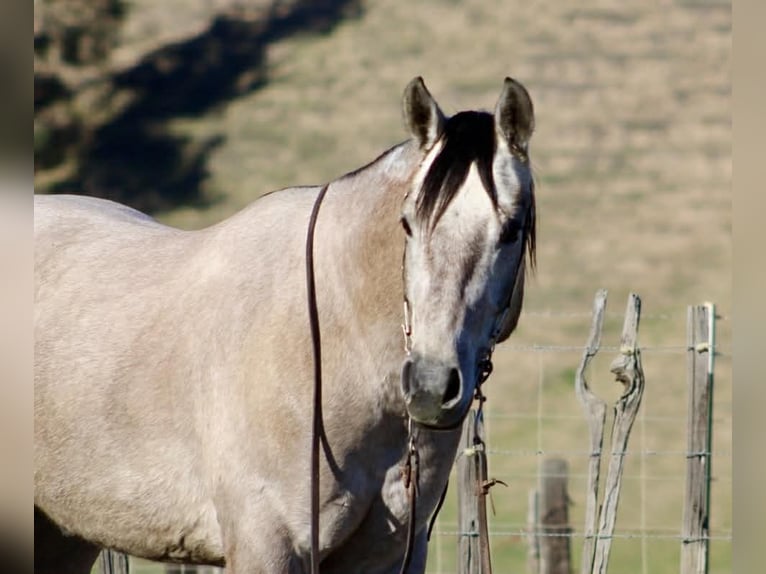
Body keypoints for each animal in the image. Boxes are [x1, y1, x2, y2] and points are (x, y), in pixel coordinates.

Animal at [34, 76, 536, 574]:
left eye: (511, 230)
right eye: (408, 224)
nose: (431, 386)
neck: (337, 345)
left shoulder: (393, 554)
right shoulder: (268, 546)